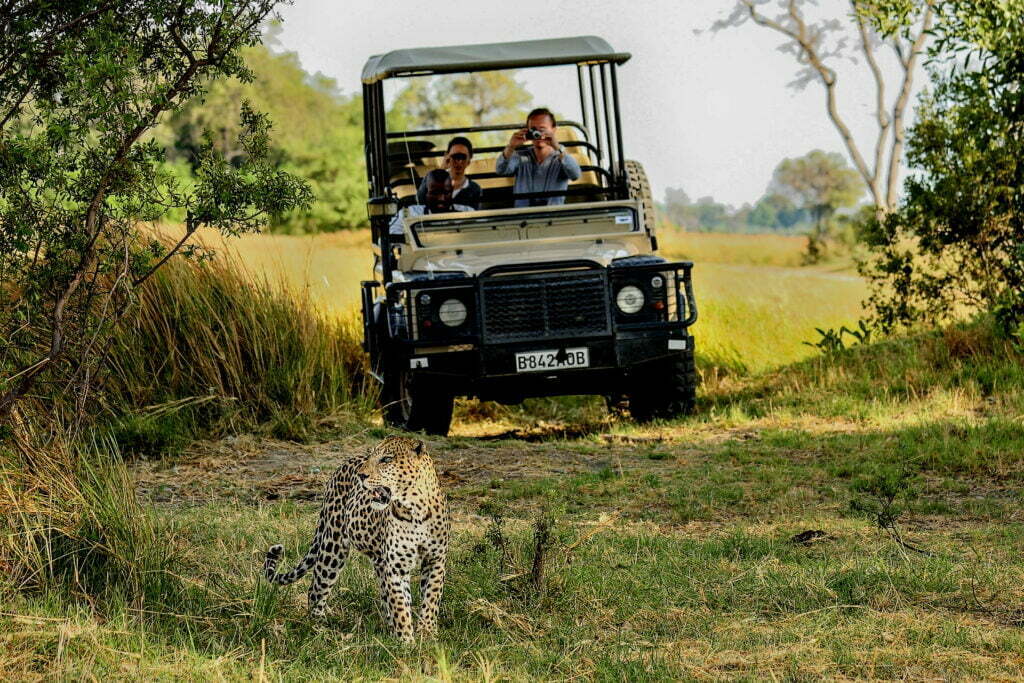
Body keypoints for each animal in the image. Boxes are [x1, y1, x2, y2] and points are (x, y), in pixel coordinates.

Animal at [266, 436, 450, 643]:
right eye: (373, 457)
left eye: (387, 459)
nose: (361, 475)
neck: (415, 509)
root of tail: (345, 463)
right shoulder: (395, 566)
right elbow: (400, 606)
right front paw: (406, 641)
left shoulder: (435, 560)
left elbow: (430, 599)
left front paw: (427, 635)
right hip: (333, 545)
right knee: (315, 590)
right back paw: (318, 628)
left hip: (377, 560)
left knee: (385, 595)